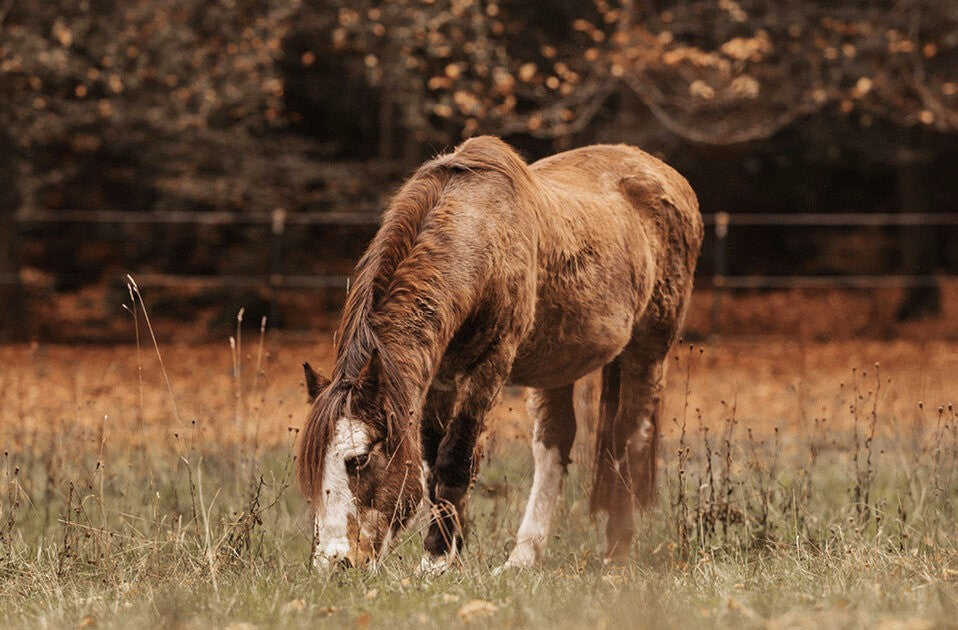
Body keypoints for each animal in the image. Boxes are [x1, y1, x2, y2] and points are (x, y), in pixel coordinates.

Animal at [298, 136, 703, 572]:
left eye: (356, 459)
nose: (333, 562)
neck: (482, 234)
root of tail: (669, 178)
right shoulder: (440, 376)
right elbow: (432, 465)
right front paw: (453, 550)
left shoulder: (488, 366)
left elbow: (454, 458)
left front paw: (435, 561)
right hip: (558, 367)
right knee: (554, 445)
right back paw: (523, 558)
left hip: (648, 351)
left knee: (631, 436)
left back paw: (617, 551)